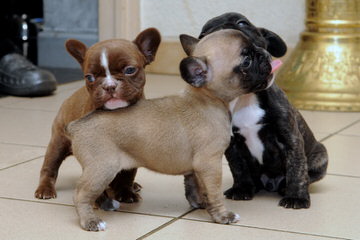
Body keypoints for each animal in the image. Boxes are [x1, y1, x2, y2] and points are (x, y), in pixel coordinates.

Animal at [34, 27, 161, 206]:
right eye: (90, 77)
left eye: (129, 70)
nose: (109, 86)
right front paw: (100, 199)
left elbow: (128, 174)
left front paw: (126, 192)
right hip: (57, 143)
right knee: (49, 168)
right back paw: (45, 189)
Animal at [64, 29, 274, 232]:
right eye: (246, 61)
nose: (265, 54)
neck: (207, 98)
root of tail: (76, 126)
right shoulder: (210, 163)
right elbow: (214, 192)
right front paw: (222, 215)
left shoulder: (196, 168)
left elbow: (195, 186)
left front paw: (200, 203)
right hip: (102, 168)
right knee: (80, 195)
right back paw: (91, 221)